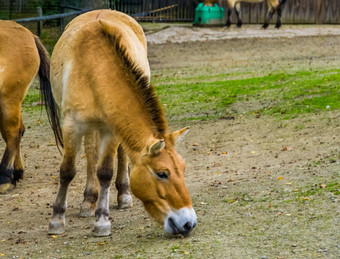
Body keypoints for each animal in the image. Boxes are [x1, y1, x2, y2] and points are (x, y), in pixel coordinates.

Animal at [47, 9, 197, 238]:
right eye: (162, 173)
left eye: (183, 168)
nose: (189, 223)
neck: (94, 69)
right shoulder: (71, 126)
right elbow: (67, 170)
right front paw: (56, 220)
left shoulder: (111, 129)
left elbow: (105, 171)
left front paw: (102, 221)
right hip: (89, 127)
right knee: (91, 154)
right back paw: (88, 200)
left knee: (119, 154)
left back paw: (123, 195)